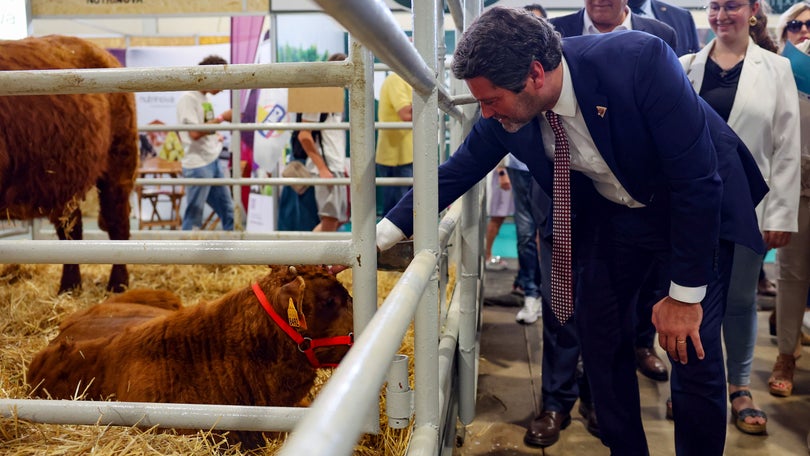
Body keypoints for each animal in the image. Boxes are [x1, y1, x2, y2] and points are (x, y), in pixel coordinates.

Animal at [0, 34, 137, 292]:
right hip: (64, 180)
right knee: (72, 228)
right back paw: (70, 285)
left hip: (119, 164)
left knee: (118, 222)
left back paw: (117, 283)